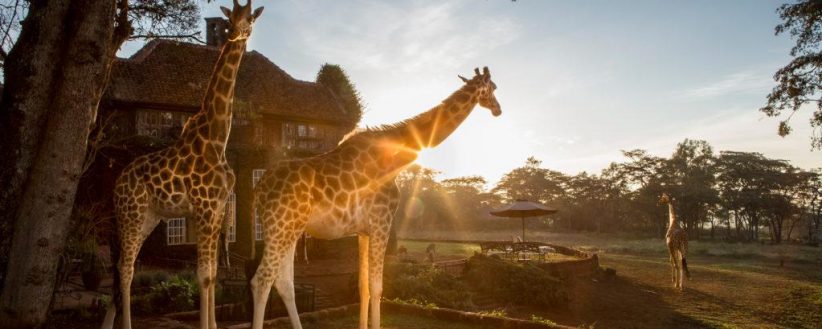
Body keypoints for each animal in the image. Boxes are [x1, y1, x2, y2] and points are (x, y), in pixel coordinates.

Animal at [101, 2, 266, 328]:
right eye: (230, 19)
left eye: (250, 19)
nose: (236, 34)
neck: (217, 138)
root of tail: (117, 182)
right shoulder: (203, 208)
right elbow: (203, 276)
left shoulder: (217, 210)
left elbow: (213, 274)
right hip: (131, 214)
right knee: (125, 269)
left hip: (148, 218)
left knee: (121, 265)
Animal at [248, 67, 502, 328]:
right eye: (493, 87)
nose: (498, 109)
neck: (395, 156)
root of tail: (259, 189)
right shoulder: (382, 222)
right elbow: (378, 287)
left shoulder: (363, 231)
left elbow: (364, 287)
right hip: (280, 227)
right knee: (262, 280)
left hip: (290, 230)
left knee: (284, 283)